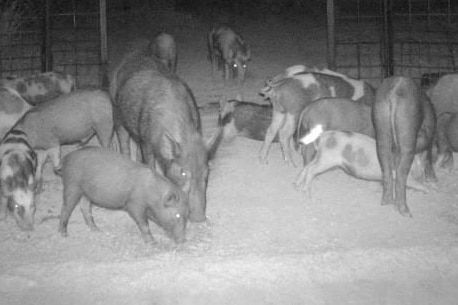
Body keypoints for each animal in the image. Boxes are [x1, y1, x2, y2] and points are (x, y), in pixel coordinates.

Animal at [59, 146, 188, 243]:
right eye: (177, 215)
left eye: (185, 215)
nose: (183, 240)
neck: (153, 194)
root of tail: (66, 158)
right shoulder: (134, 204)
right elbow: (144, 224)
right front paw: (153, 243)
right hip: (72, 185)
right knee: (66, 208)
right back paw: (64, 234)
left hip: (86, 192)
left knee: (84, 208)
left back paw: (97, 230)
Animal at [111, 41, 222, 221]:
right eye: (183, 173)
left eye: (207, 171)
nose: (200, 218)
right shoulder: (146, 140)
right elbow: (150, 163)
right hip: (116, 111)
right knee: (124, 140)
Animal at [296, 128, 428, 200]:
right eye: (422, 169)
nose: (423, 177)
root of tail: (322, 137)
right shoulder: (406, 176)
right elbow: (415, 184)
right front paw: (429, 190)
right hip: (327, 159)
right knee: (311, 170)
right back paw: (307, 192)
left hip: (321, 156)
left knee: (307, 167)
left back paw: (297, 185)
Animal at [372, 77, 436, 217]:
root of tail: (395, 91)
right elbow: (428, 157)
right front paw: (433, 180)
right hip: (408, 125)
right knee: (401, 173)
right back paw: (406, 212)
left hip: (381, 122)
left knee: (385, 164)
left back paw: (386, 202)